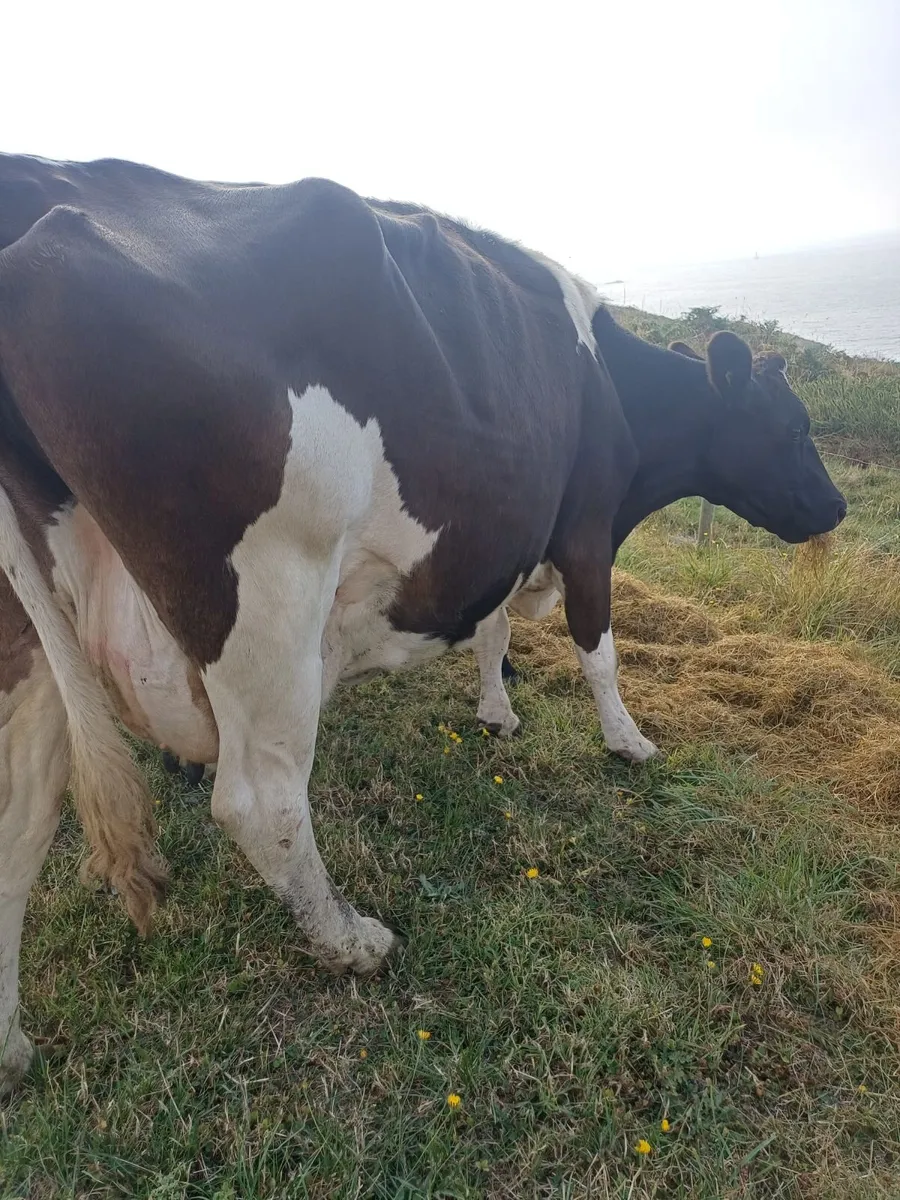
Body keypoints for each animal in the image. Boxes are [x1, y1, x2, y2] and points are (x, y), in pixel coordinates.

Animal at [0, 153, 846, 1093]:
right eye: (791, 425)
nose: (837, 505)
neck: (611, 388)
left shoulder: (504, 535)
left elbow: (494, 633)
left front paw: (497, 711)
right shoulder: (586, 525)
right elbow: (599, 651)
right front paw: (628, 741)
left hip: (36, 634)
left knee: (22, 812)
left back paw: (11, 1045)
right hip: (270, 597)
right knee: (261, 801)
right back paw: (351, 940)